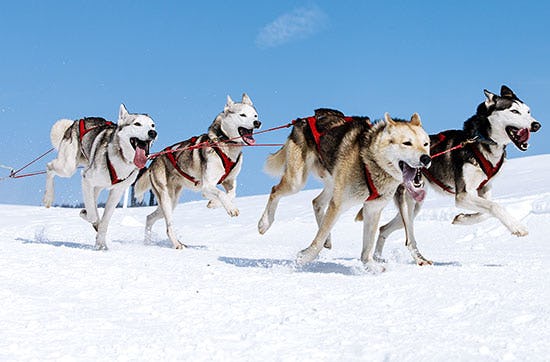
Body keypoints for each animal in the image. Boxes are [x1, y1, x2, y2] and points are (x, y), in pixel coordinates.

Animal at [43, 104, 157, 249]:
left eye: (153, 125)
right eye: (137, 124)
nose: (153, 133)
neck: (122, 158)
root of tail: (77, 121)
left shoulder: (117, 191)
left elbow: (105, 220)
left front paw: (101, 243)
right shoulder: (86, 178)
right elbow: (93, 216)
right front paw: (94, 223)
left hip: (96, 186)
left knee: (92, 201)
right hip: (67, 167)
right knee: (49, 167)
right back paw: (48, 198)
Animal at [134, 93, 264, 249]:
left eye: (255, 115)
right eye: (243, 115)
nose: (257, 123)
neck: (225, 144)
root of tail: (154, 160)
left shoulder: (229, 181)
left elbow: (231, 194)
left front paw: (214, 203)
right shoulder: (207, 185)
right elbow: (221, 193)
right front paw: (230, 208)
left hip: (171, 201)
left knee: (149, 218)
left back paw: (148, 242)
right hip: (165, 199)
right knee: (168, 226)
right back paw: (176, 244)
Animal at [258, 109, 436, 264]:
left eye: (426, 144)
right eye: (407, 143)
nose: (426, 158)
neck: (370, 161)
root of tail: (302, 121)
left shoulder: (372, 209)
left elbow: (367, 247)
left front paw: (370, 266)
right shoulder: (339, 204)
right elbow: (318, 240)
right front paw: (304, 258)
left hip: (332, 183)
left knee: (317, 203)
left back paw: (328, 239)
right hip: (297, 182)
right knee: (275, 191)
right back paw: (264, 223)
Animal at [376, 85, 544, 260]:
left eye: (528, 111)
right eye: (514, 111)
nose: (536, 125)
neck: (480, 142)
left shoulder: (484, 189)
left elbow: (487, 211)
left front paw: (462, 219)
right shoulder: (462, 195)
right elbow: (495, 206)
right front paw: (517, 227)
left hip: (415, 207)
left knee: (383, 228)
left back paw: (376, 259)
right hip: (408, 205)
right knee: (408, 239)